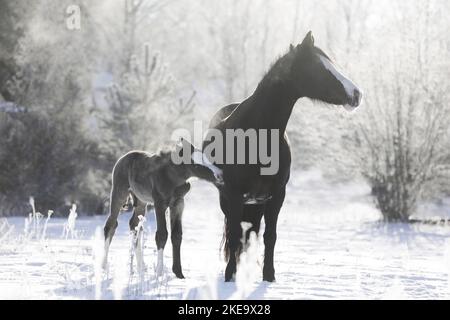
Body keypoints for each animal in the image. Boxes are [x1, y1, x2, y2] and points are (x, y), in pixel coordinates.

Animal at [101, 140, 221, 278]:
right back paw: (104, 267)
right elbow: (162, 235)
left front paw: (179, 273)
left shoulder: (178, 203)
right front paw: (159, 272)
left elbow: (176, 235)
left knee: (134, 225)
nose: (219, 175)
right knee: (111, 225)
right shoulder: (160, 203)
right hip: (119, 192)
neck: (173, 176)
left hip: (141, 201)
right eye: (196, 165)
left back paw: (141, 267)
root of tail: (122, 158)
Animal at [204, 31, 362, 282]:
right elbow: (235, 233)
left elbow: (270, 236)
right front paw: (231, 275)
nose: (356, 94)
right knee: (235, 232)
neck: (257, 136)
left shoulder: (277, 196)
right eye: (321, 68)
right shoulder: (235, 195)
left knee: (251, 233)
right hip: (229, 200)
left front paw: (268, 276)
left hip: (256, 204)